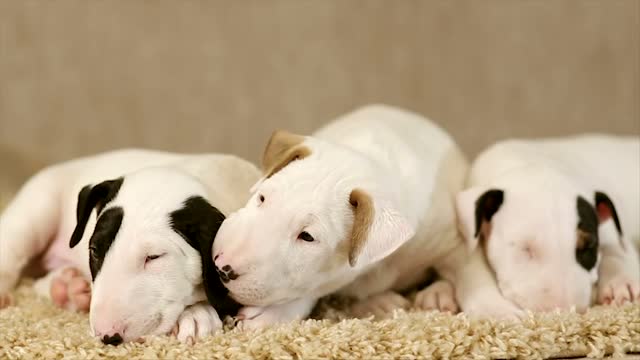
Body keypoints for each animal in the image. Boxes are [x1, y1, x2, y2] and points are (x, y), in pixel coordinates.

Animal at [0, 148, 260, 344]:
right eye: (94, 251)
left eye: (154, 257)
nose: (107, 336)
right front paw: (197, 314)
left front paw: (197, 313)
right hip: (37, 209)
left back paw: (68, 287)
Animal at [456, 135, 640, 318]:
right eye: (525, 248)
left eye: (589, 246)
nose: (563, 312)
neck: (531, 161)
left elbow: (617, 249)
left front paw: (621, 283)